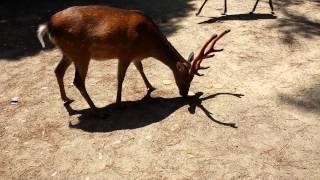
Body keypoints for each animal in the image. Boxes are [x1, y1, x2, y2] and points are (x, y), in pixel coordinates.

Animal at [36, 5, 229, 115]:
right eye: (187, 77)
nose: (184, 93)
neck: (149, 44)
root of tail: (49, 25)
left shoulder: (136, 56)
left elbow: (141, 68)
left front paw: (151, 87)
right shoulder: (125, 53)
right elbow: (120, 78)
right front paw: (119, 103)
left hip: (68, 52)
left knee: (58, 70)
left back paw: (66, 99)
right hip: (81, 53)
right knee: (77, 81)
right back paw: (96, 110)